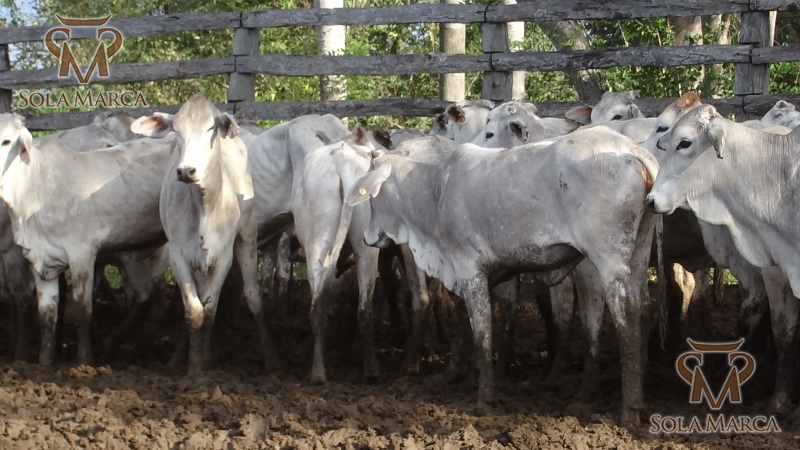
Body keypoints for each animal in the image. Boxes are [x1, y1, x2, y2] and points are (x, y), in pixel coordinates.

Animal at [158, 93, 279, 374]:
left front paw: (202, 364)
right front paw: (195, 365)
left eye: (210, 128)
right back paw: (178, 358)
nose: (186, 171)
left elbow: (210, 310)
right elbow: (194, 311)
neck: (204, 207)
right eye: (176, 130)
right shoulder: (178, 255)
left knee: (253, 296)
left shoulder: (223, 255)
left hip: (247, 236)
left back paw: (270, 358)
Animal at [330, 126, 660, 426]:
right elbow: (464, 319)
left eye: (372, 198)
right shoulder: (473, 273)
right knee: (642, 307)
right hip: (638, 251)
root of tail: (632, 149)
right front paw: (457, 372)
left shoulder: (468, 268)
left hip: (610, 259)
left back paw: (629, 410)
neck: (436, 193)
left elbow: (481, 330)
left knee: (625, 317)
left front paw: (484, 395)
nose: (369, 237)